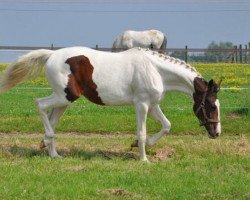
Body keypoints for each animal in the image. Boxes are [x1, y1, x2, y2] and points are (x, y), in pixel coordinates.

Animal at [0, 46, 221, 161]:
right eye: (211, 106)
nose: (216, 133)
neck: (155, 70)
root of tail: (51, 55)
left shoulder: (152, 105)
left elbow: (166, 125)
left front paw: (137, 145)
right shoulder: (141, 104)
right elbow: (142, 132)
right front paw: (144, 159)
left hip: (63, 101)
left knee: (52, 119)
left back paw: (52, 151)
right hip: (65, 97)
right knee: (40, 104)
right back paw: (47, 143)